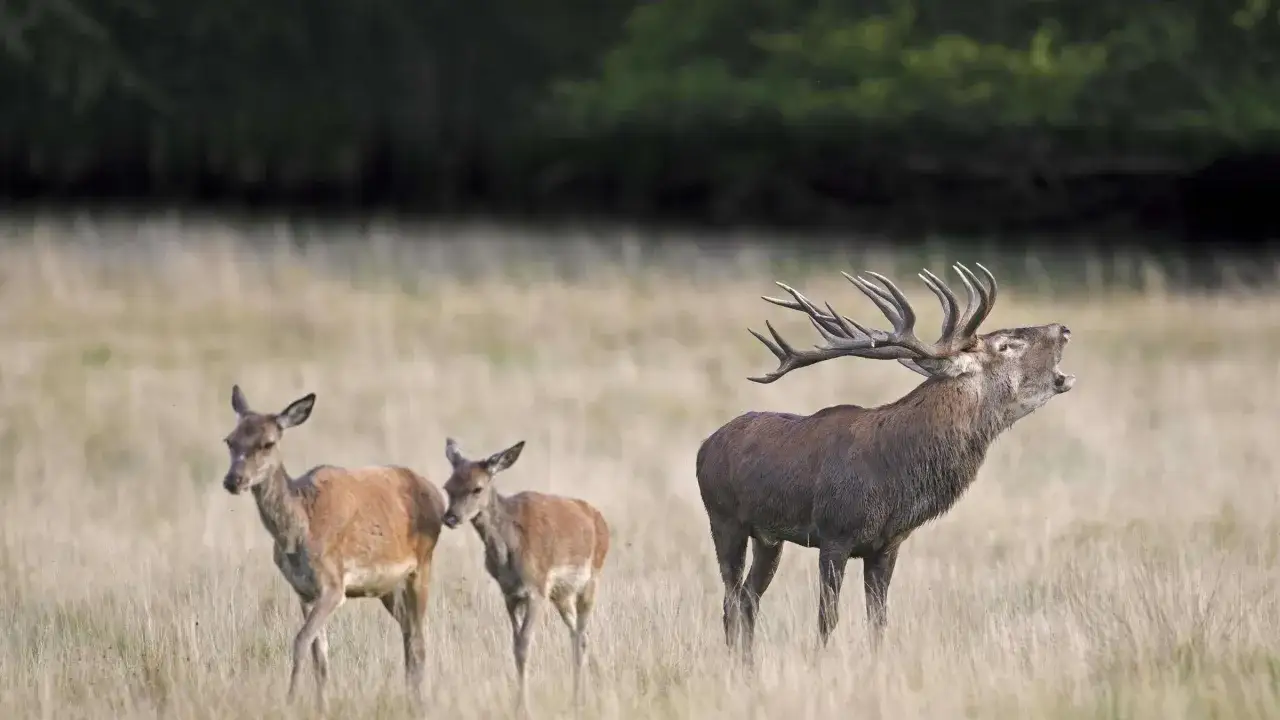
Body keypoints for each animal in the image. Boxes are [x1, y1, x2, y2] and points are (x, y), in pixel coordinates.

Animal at [219, 385, 446, 711]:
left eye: (267, 443)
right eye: (230, 440)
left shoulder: (333, 585)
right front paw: (320, 705)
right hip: (388, 587)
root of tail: (438, 497)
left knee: (418, 639)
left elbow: (300, 641)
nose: (233, 480)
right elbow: (320, 656)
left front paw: (290, 700)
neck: (299, 531)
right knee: (408, 634)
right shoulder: (304, 591)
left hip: (422, 566)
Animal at [440, 437, 610, 716]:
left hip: (591, 581)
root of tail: (599, 519)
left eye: (477, 488)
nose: (450, 517)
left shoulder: (536, 590)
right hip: (562, 595)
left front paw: (523, 708)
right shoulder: (511, 595)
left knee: (582, 635)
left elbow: (525, 645)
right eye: (448, 487)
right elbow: (515, 644)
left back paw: (579, 700)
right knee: (577, 634)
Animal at [696, 262, 1075, 660]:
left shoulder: (886, 545)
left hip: (769, 538)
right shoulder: (834, 532)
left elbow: (878, 622)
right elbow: (827, 618)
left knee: (748, 599)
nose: (1063, 329)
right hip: (724, 518)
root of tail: (704, 447)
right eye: (1005, 345)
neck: (893, 477)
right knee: (731, 601)